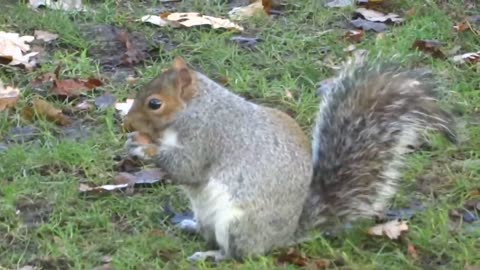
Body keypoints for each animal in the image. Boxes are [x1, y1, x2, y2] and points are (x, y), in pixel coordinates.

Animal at [122, 53, 456, 262]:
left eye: (155, 104)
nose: (127, 123)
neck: (196, 108)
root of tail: (286, 235)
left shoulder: (208, 137)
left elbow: (187, 167)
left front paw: (143, 147)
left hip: (239, 223)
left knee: (242, 254)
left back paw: (212, 255)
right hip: (208, 214)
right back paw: (191, 227)